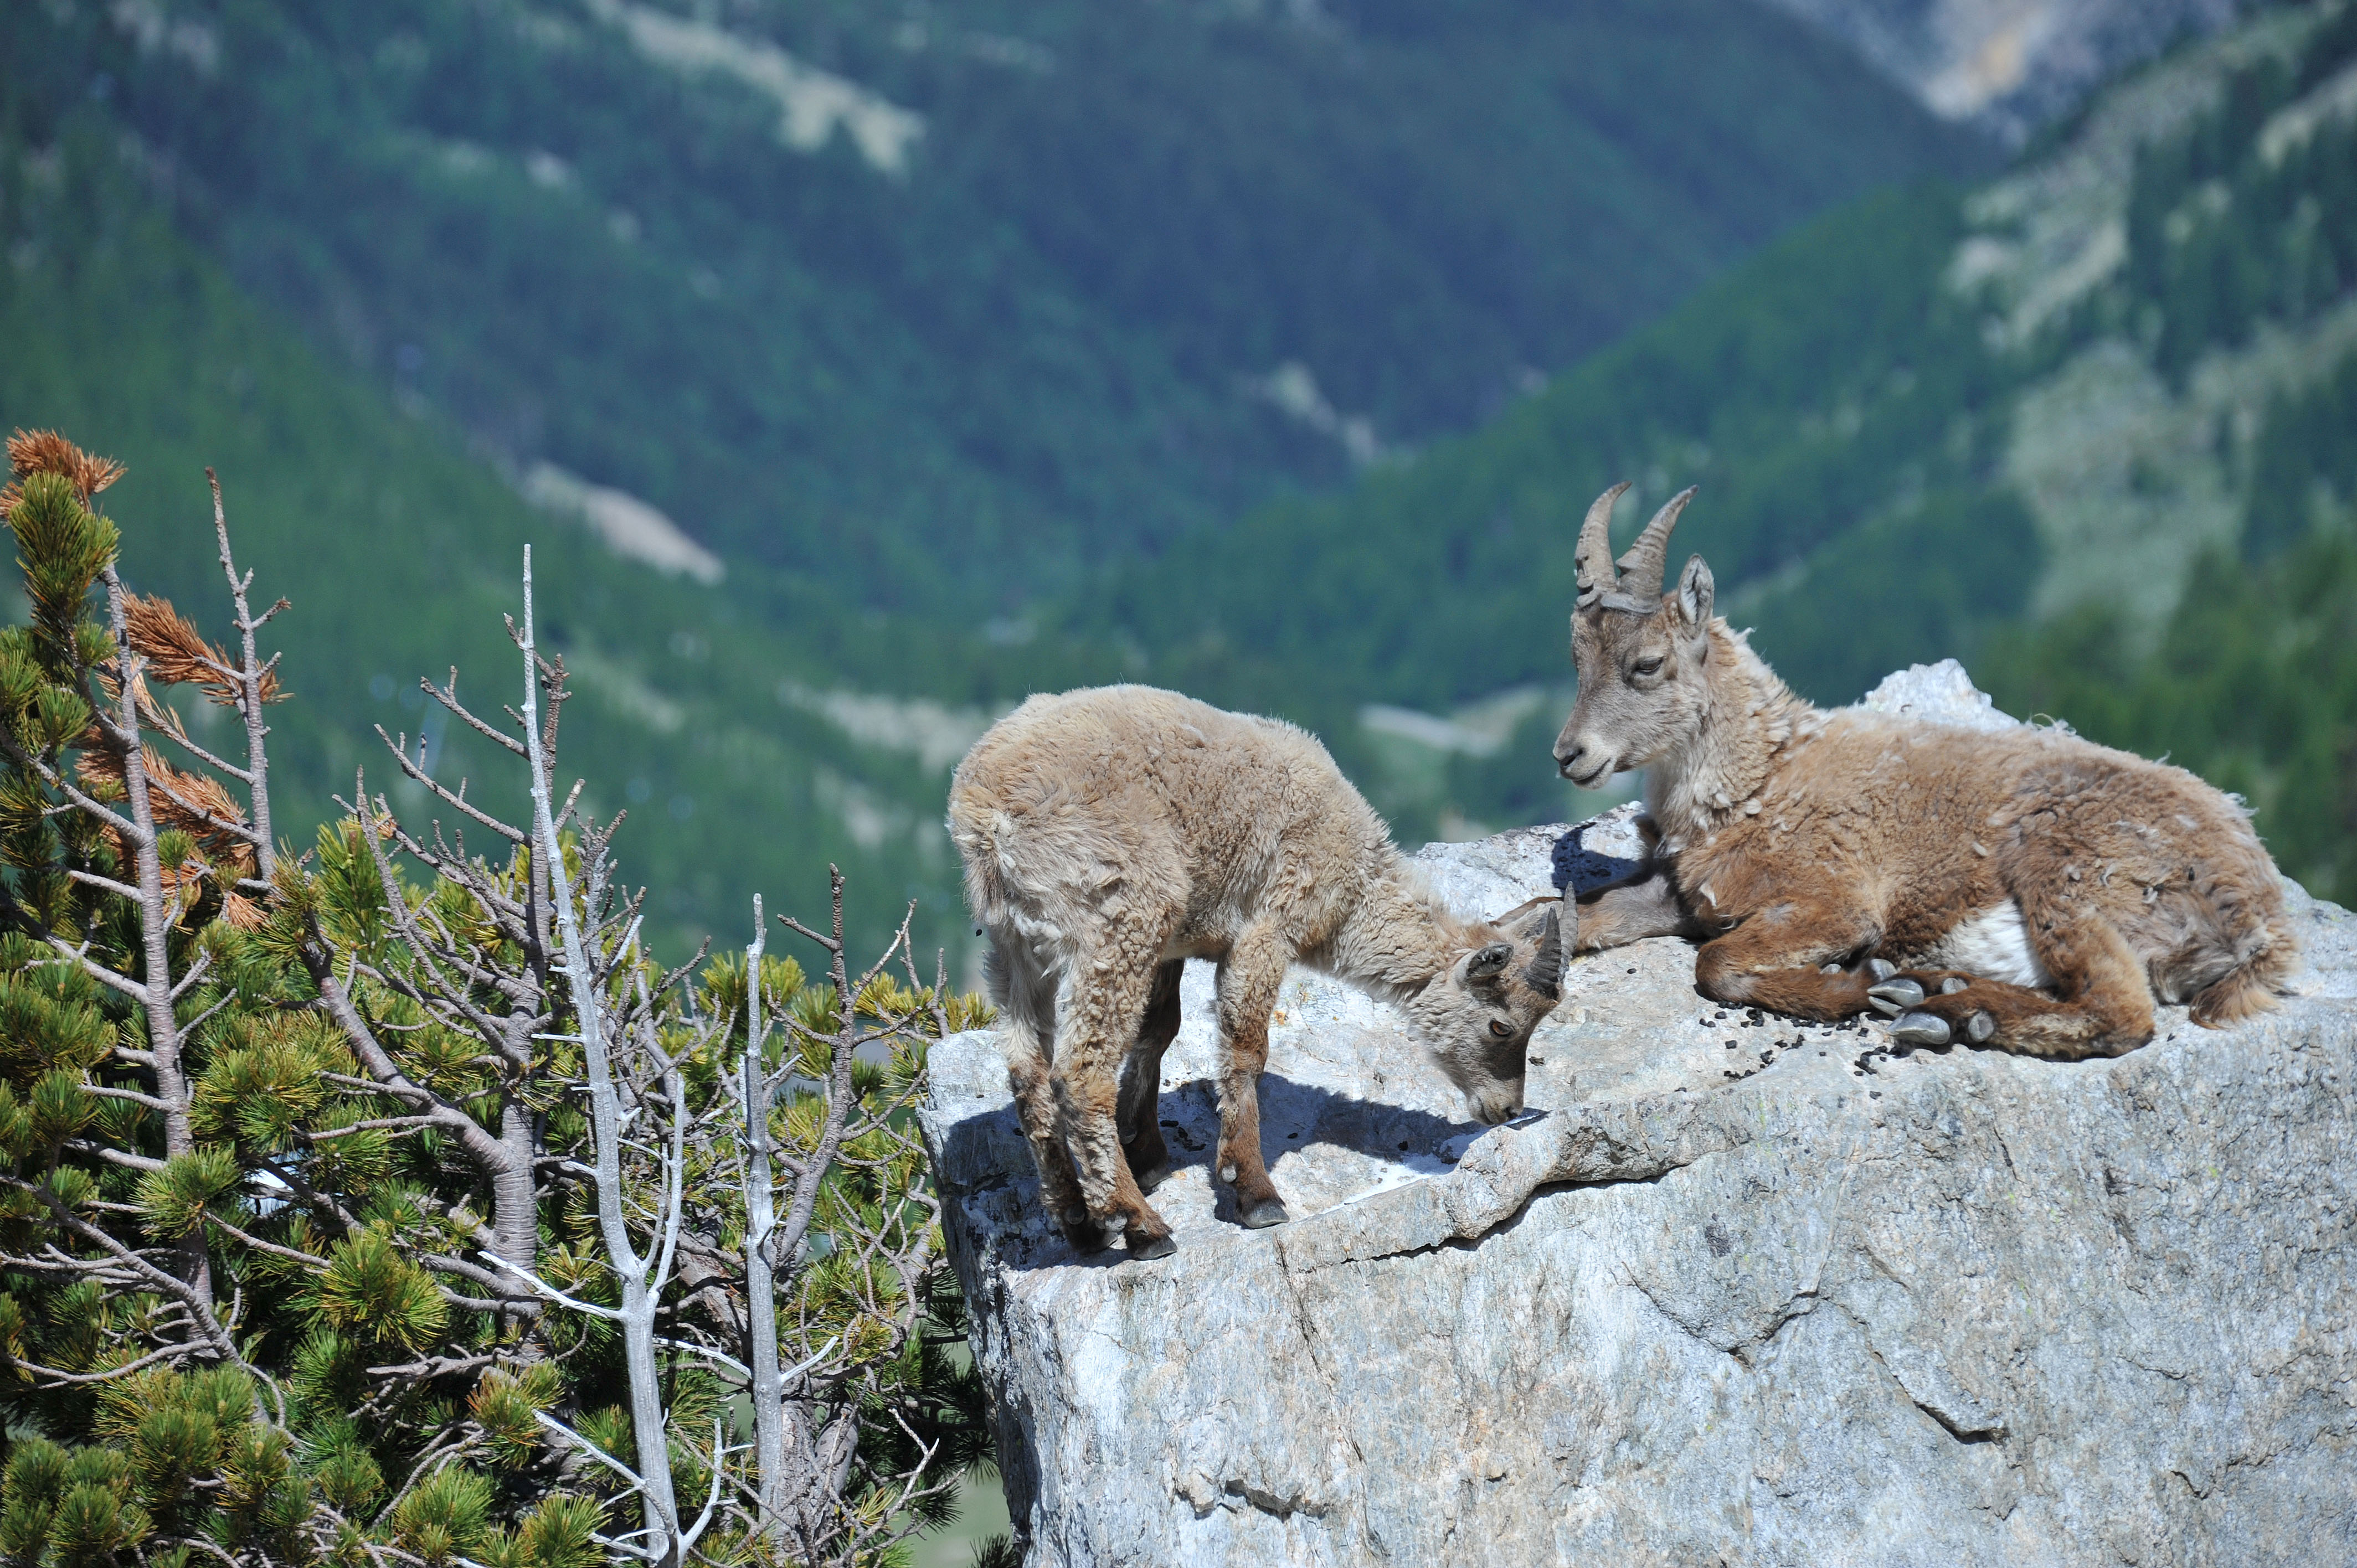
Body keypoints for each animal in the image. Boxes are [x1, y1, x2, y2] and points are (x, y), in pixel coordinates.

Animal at [949, 685, 1563, 1260]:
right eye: (1501, 1026)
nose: (1507, 1109)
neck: (1351, 888)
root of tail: (983, 813)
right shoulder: (1268, 927)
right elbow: (1245, 1048)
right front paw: (1253, 1192)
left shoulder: (1173, 946)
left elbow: (1159, 1032)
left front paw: (1147, 1151)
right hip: (1120, 920)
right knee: (1078, 1073)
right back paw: (1138, 1223)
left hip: (1012, 948)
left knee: (1028, 1073)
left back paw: (1078, 1221)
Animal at [1551, 483, 2296, 1058]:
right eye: (1575, 659)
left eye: (1647, 664)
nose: (1567, 754)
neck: (1758, 778)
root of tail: (2255, 913)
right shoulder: (1680, 893)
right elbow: (1572, 916)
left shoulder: (1831, 900)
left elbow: (1717, 963)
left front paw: (1858, 983)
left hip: (2066, 867)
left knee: (2118, 1012)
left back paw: (1942, 1009)